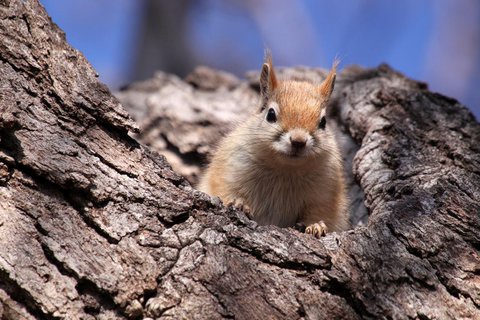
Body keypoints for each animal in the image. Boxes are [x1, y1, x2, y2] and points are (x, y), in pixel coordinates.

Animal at [199, 53, 348, 238]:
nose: (298, 141)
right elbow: (224, 190)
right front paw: (238, 203)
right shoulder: (228, 170)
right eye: (270, 114)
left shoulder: (326, 192)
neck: (285, 168)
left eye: (323, 122)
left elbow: (320, 213)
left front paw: (316, 225)